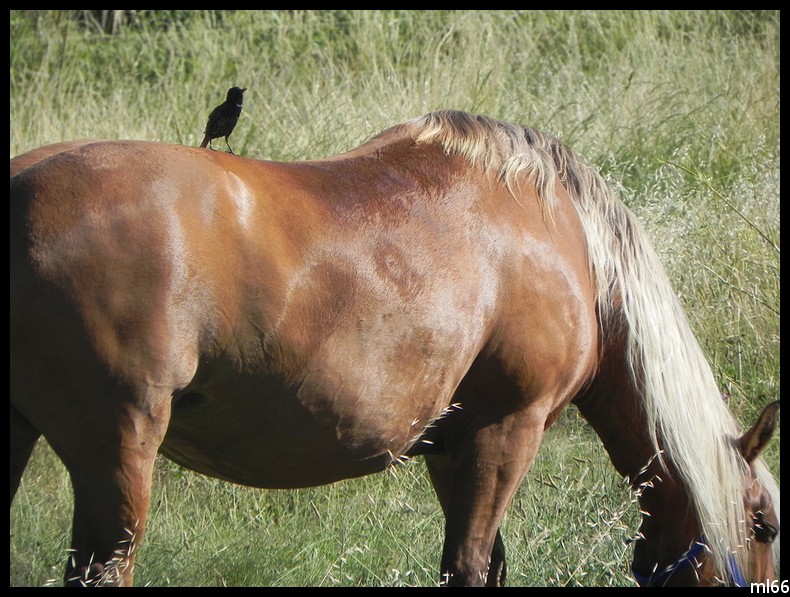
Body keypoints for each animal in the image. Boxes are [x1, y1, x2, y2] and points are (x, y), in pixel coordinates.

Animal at [9, 109, 784, 584]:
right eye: (765, 524)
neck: (568, 239)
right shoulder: (507, 430)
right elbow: (469, 566)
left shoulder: (454, 445)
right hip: (118, 452)